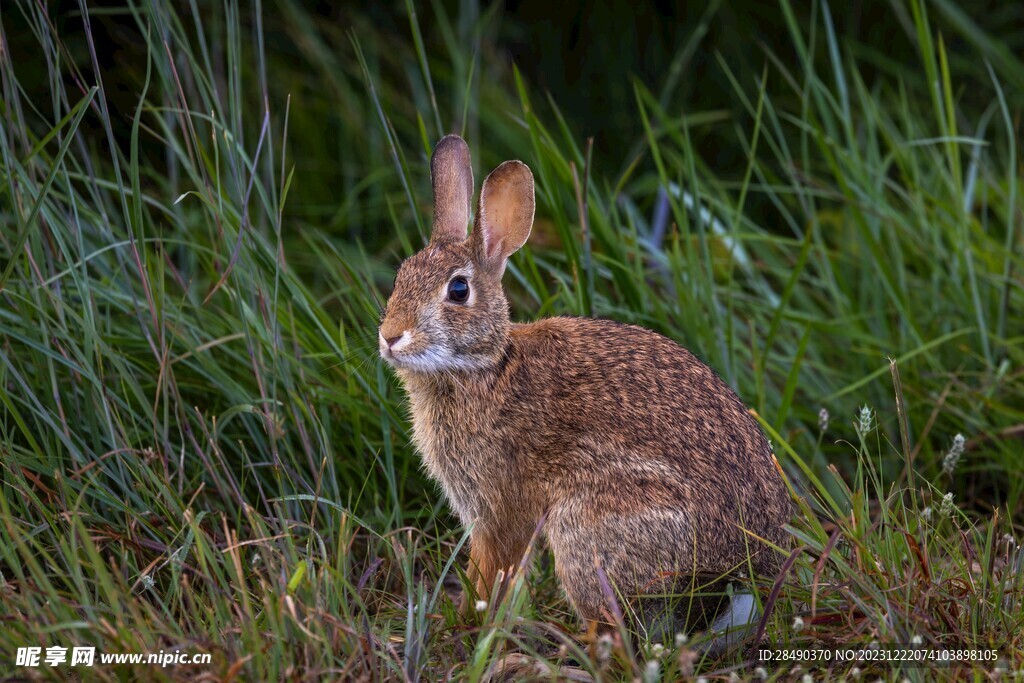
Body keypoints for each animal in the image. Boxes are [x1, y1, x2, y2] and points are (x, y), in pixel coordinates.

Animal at [380, 135, 794, 647]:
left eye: (458, 290)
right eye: (401, 274)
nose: (390, 336)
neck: (486, 366)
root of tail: (735, 587)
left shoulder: (500, 509)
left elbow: (492, 568)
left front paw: (467, 621)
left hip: (589, 530)